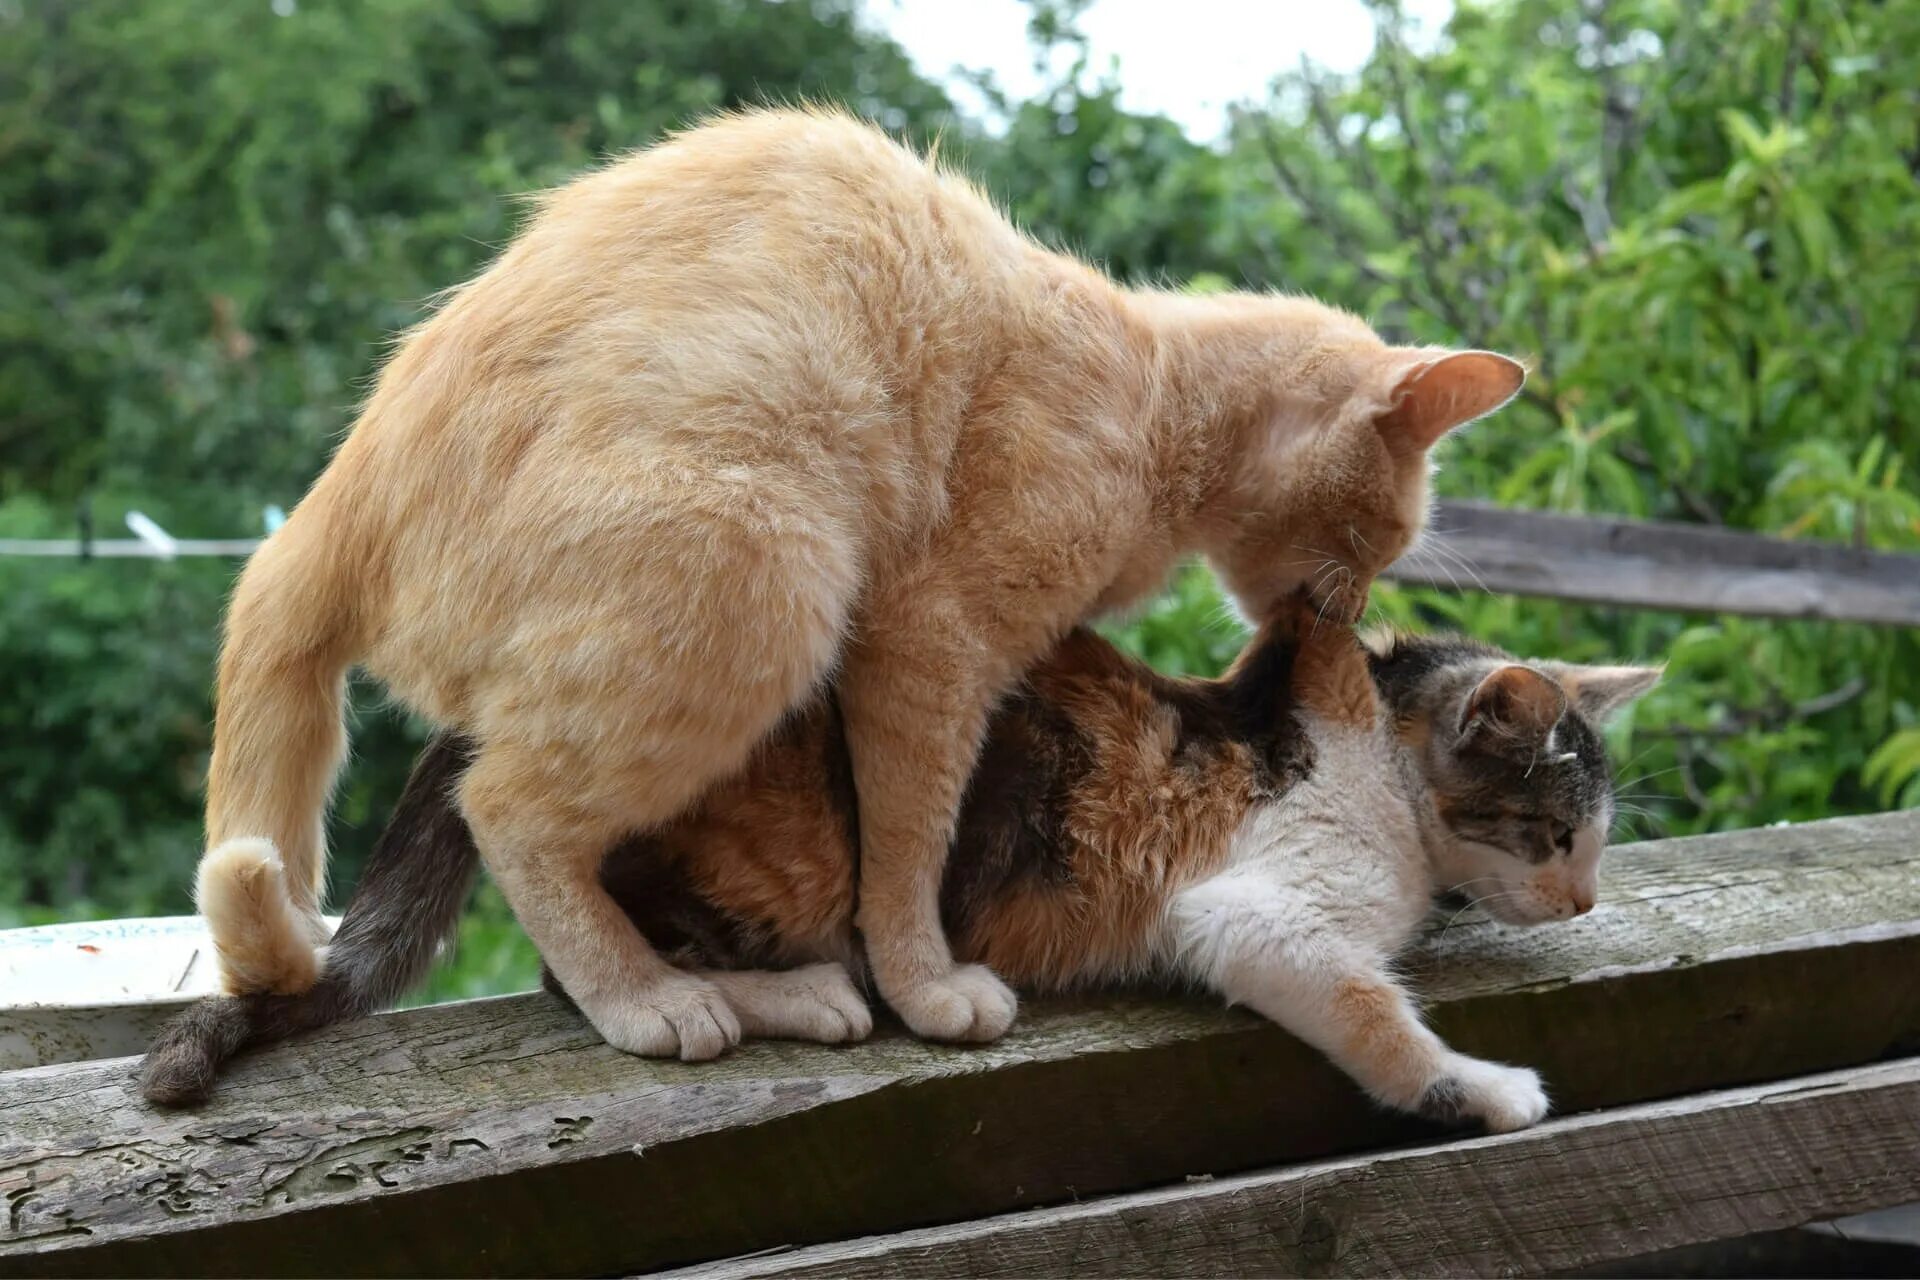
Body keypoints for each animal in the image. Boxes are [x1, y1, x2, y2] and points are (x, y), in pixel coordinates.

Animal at [149, 594, 1658, 1128]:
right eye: (1557, 829)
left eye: (1594, 839)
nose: (1586, 894)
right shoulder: (1254, 911)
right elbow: (1373, 1014)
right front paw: (1487, 1087)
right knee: (586, 973)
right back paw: (787, 996)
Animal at [194, 102, 1520, 1059]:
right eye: (1382, 536)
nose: (1354, 606)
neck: (1153, 399)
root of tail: (328, 512)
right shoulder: (928, 643)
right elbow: (908, 844)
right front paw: (925, 986)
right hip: (765, 569)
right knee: (508, 812)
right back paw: (658, 1003)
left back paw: (786, 995)